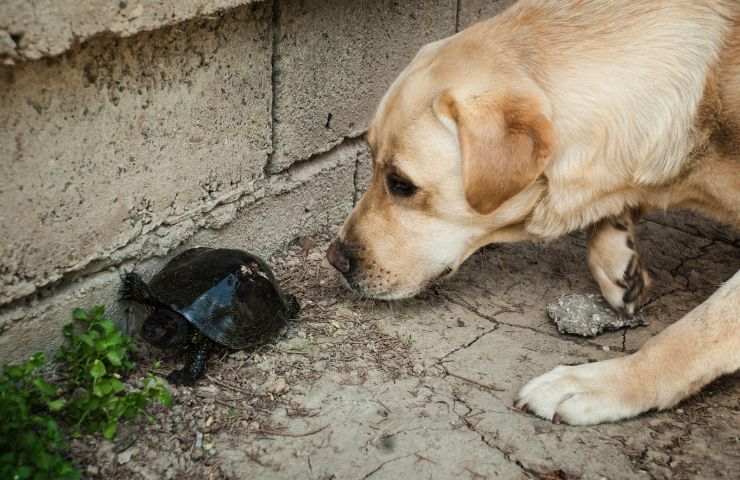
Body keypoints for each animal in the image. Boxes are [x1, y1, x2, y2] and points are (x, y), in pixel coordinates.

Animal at [326, 0, 740, 424]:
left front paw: (607, 382)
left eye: (401, 184)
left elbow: (700, 329)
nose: (335, 259)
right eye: (370, 160)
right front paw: (616, 256)